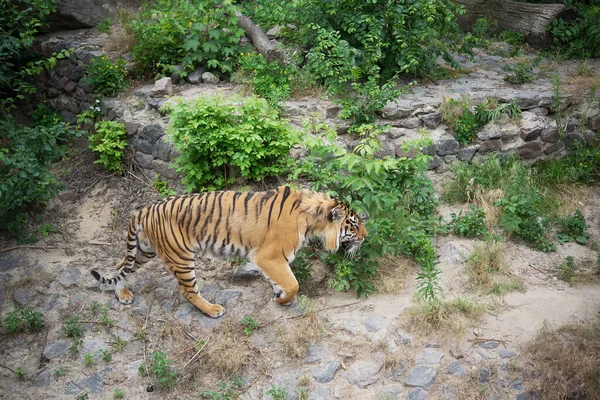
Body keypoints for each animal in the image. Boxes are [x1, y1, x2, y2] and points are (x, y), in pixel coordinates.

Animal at [91, 185, 368, 318]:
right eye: (353, 224)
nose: (366, 237)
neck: (312, 221)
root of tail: (143, 210)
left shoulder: (272, 261)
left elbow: (282, 282)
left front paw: (279, 296)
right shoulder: (269, 256)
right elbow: (293, 284)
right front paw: (282, 300)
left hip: (144, 250)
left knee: (120, 266)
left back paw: (122, 294)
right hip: (180, 257)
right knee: (188, 291)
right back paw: (212, 310)